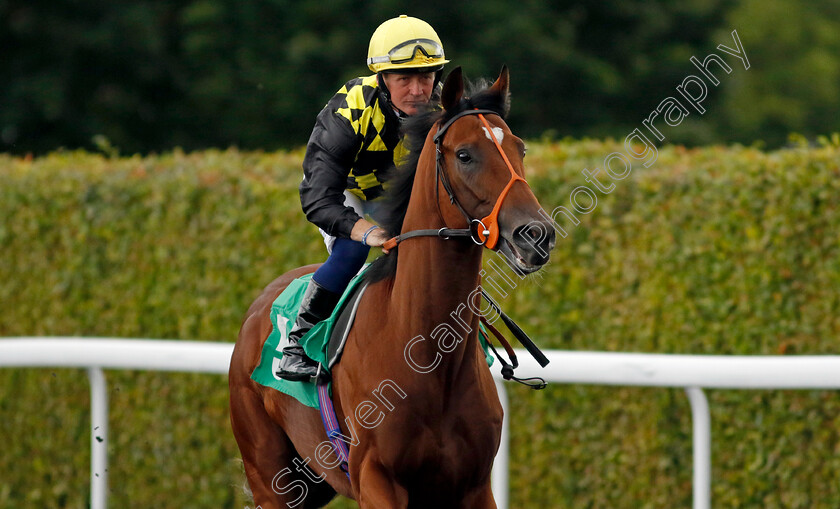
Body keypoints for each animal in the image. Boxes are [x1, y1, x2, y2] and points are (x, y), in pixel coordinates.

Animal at [230, 67, 556, 508]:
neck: (427, 357)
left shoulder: (473, 486)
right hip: (270, 477)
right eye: (465, 154)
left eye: (520, 148)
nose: (536, 235)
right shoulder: (376, 478)